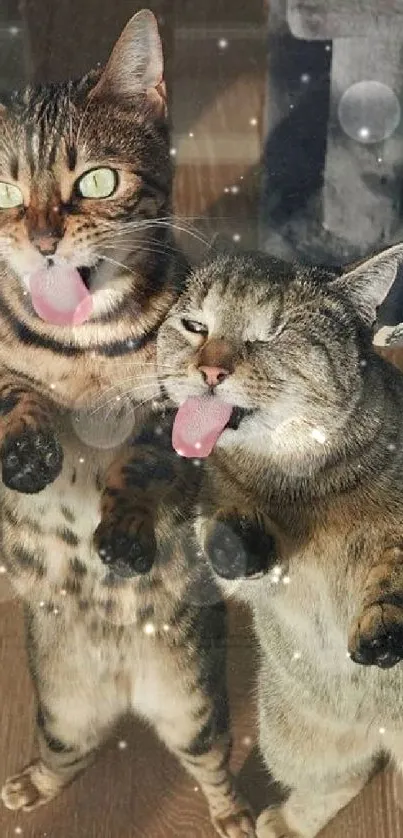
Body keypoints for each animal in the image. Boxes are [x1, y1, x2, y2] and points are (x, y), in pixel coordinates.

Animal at [0, 13, 254, 838]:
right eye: (5, 189)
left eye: (97, 181)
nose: (44, 241)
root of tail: (121, 684)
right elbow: (15, 394)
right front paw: (30, 446)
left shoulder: (182, 409)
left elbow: (139, 462)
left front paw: (122, 530)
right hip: (61, 712)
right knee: (65, 758)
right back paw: (29, 788)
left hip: (195, 709)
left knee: (212, 763)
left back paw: (236, 816)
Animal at [99, 246, 403, 838]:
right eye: (196, 326)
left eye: (272, 335)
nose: (210, 370)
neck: (300, 477)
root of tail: (382, 732)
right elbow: (220, 531)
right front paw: (236, 535)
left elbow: (393, 566)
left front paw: (384, 625)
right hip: (289, 737)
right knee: (343, 777)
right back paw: (286, 821)